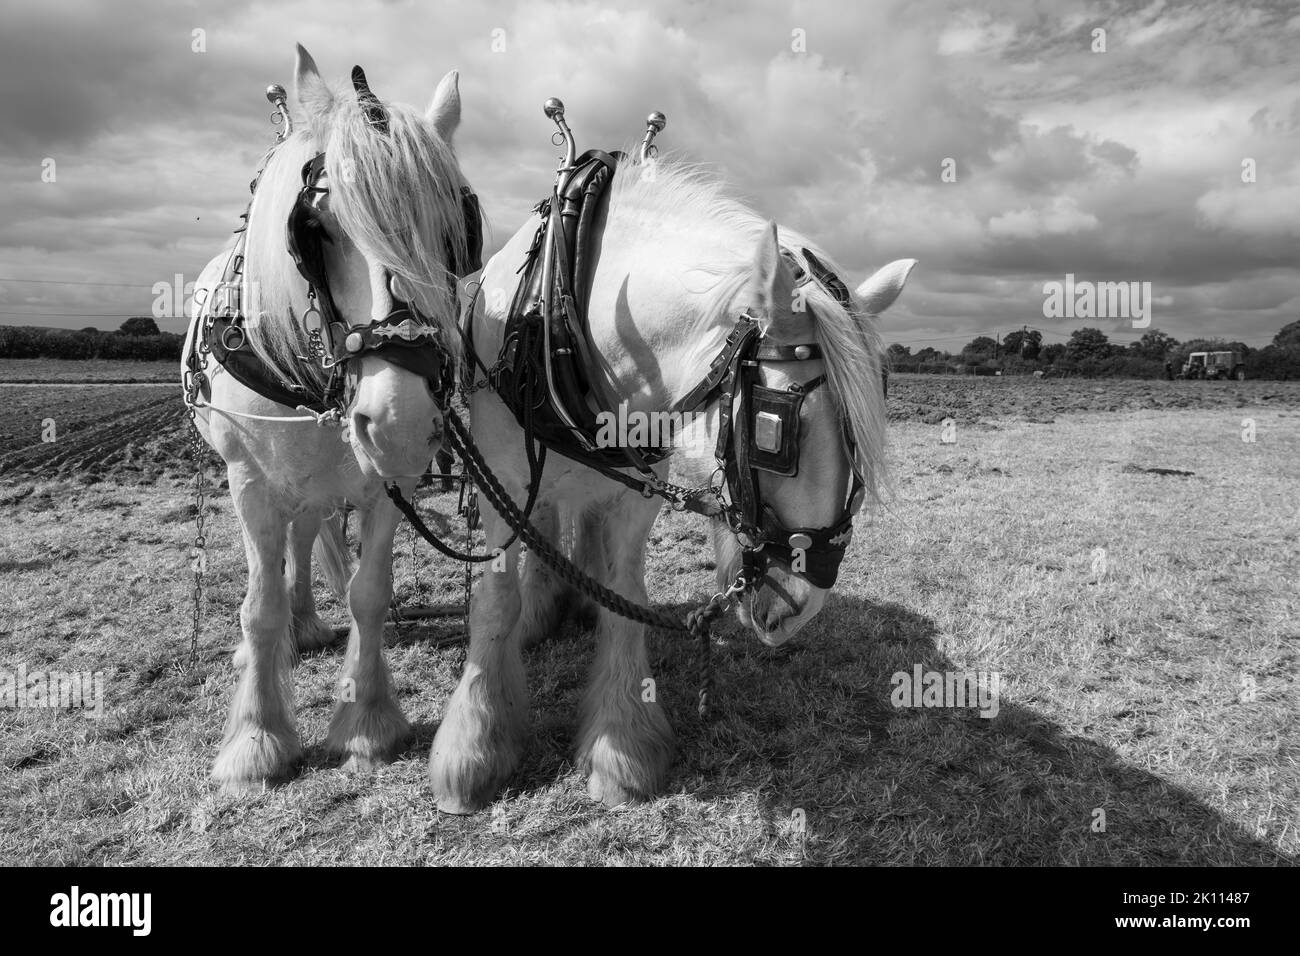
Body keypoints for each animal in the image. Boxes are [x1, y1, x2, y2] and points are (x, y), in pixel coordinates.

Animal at [183, 44, 478, 790]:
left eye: (455, 231)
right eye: (314, 229)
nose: (401, 423)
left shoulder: (382, 483)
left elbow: (369, 592)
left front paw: (367, 721)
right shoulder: (249, 481)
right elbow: (256, 606)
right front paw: (255, 741)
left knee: (308, 531)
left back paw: (310, 623)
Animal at [431, 158, 909, 806]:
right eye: (775, 429)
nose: (802, 608)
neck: (564, 316)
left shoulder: (636, 488)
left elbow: (626, 597)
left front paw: (622, 748)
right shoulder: (497, 473)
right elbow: (495, 602)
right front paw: (474, 750)